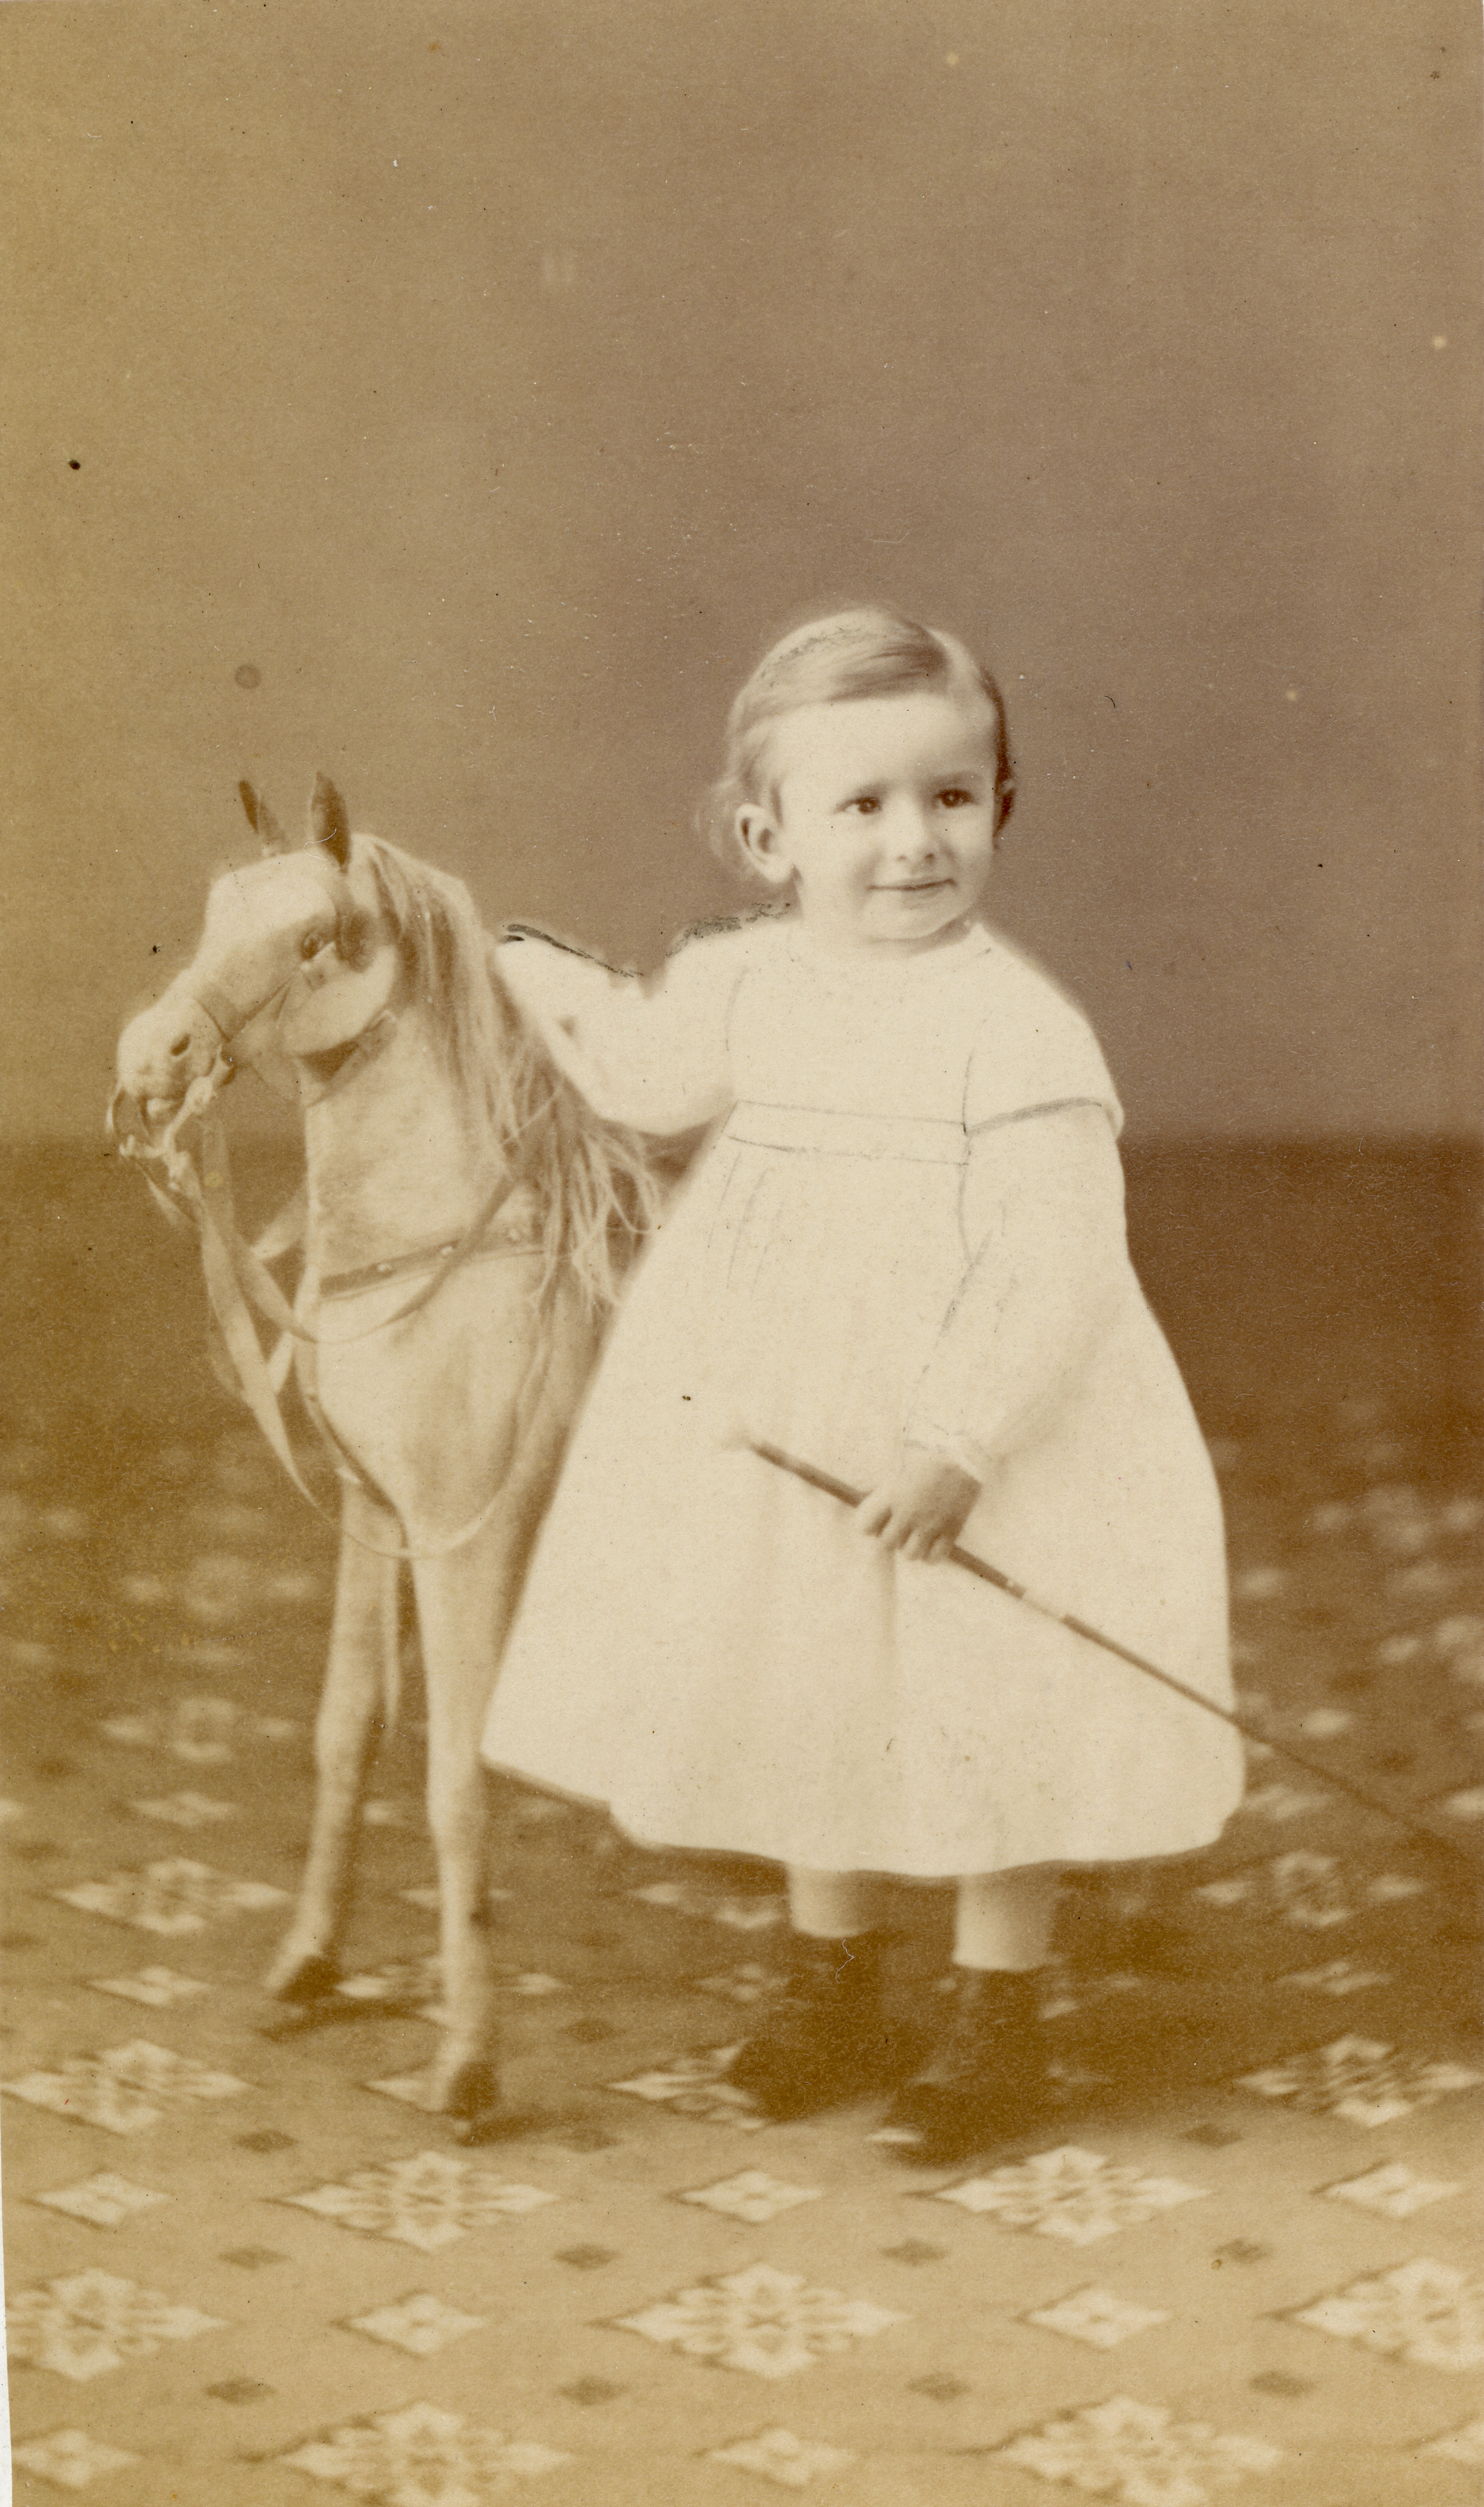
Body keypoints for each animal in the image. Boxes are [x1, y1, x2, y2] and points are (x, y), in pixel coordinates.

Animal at [112, 777, 658, 2140]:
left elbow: (457, 1781)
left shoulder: (467, 1542)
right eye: (216, 912)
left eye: (315, 936)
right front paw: (308, 1961)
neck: (437, 1249)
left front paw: (466, 2062)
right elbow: (344, 1728)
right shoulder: (374, 1514)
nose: (151, 1059)